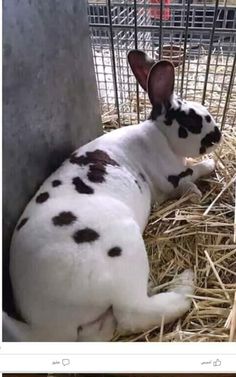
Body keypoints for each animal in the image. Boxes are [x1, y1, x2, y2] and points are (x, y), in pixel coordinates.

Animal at [5, 50, 222, 340]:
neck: (160, 135)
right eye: (193, 120)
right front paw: (208, 169)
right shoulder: (172, 174)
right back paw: (185, 283)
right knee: (136, 312)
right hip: (125, 252)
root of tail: (46, 327)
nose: (218, 135)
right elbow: (193, 173)